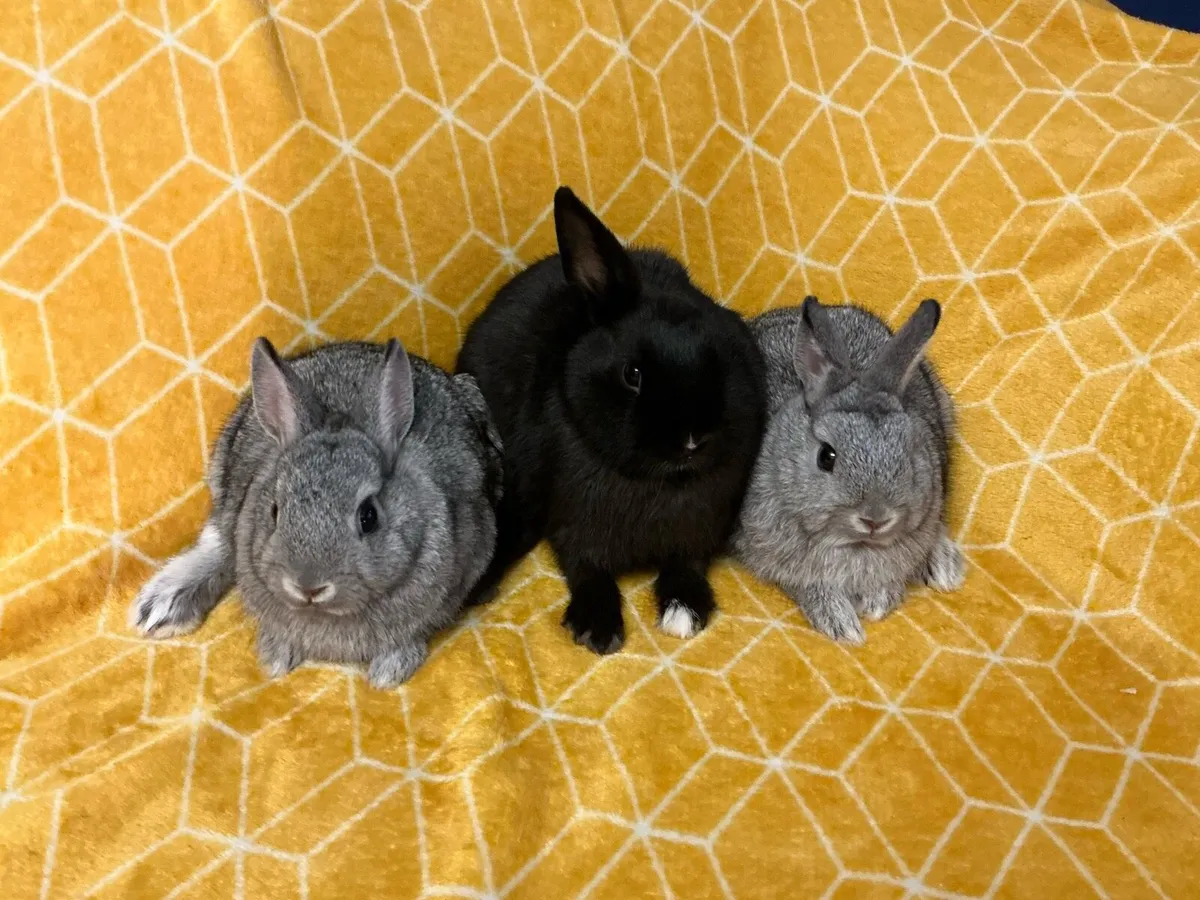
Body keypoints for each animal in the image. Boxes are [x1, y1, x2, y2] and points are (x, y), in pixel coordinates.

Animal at [129, 337, 503, 687]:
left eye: (369, 516)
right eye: (275, 511)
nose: (308, 586)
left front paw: (388, 673)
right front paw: (276, 658)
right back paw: (160, 606)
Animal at [456, 186, 766, 654]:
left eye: (721, 360)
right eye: (632, 374)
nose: (692, 439)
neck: (655, 481)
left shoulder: (702, 529)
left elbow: (688, 564)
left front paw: (685, 611)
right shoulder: (574, 527)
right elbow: (587, 569)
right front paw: (597, 629)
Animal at [732, 296, 965, 645]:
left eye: (909, 453)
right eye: (826, 457)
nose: (876, 518)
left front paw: (879, 601)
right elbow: (810, 587)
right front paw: (842, 625)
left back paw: (945, 567)